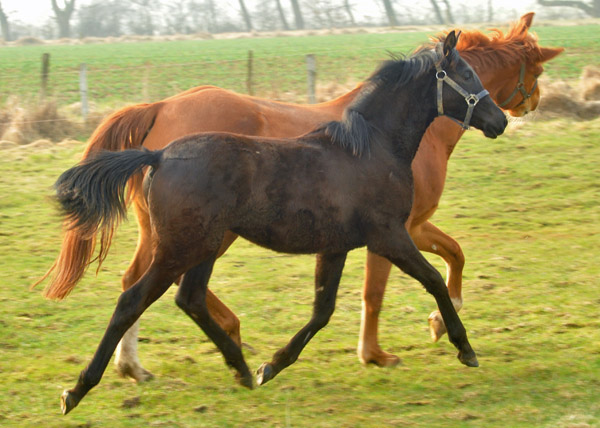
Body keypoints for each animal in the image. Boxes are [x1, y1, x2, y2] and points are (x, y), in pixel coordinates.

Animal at [38, 13, 564, 382]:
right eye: (469, 77)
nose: (504, 119)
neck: (371, 145)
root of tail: (159, 133)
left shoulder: (357, 240)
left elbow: (335, 303)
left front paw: (281, 362)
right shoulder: (395, 232)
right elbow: (415, 278)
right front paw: (425, 343)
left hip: (196, 240)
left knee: (174, 291)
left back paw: (209, 357)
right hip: (192, 239)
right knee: (144, 288)